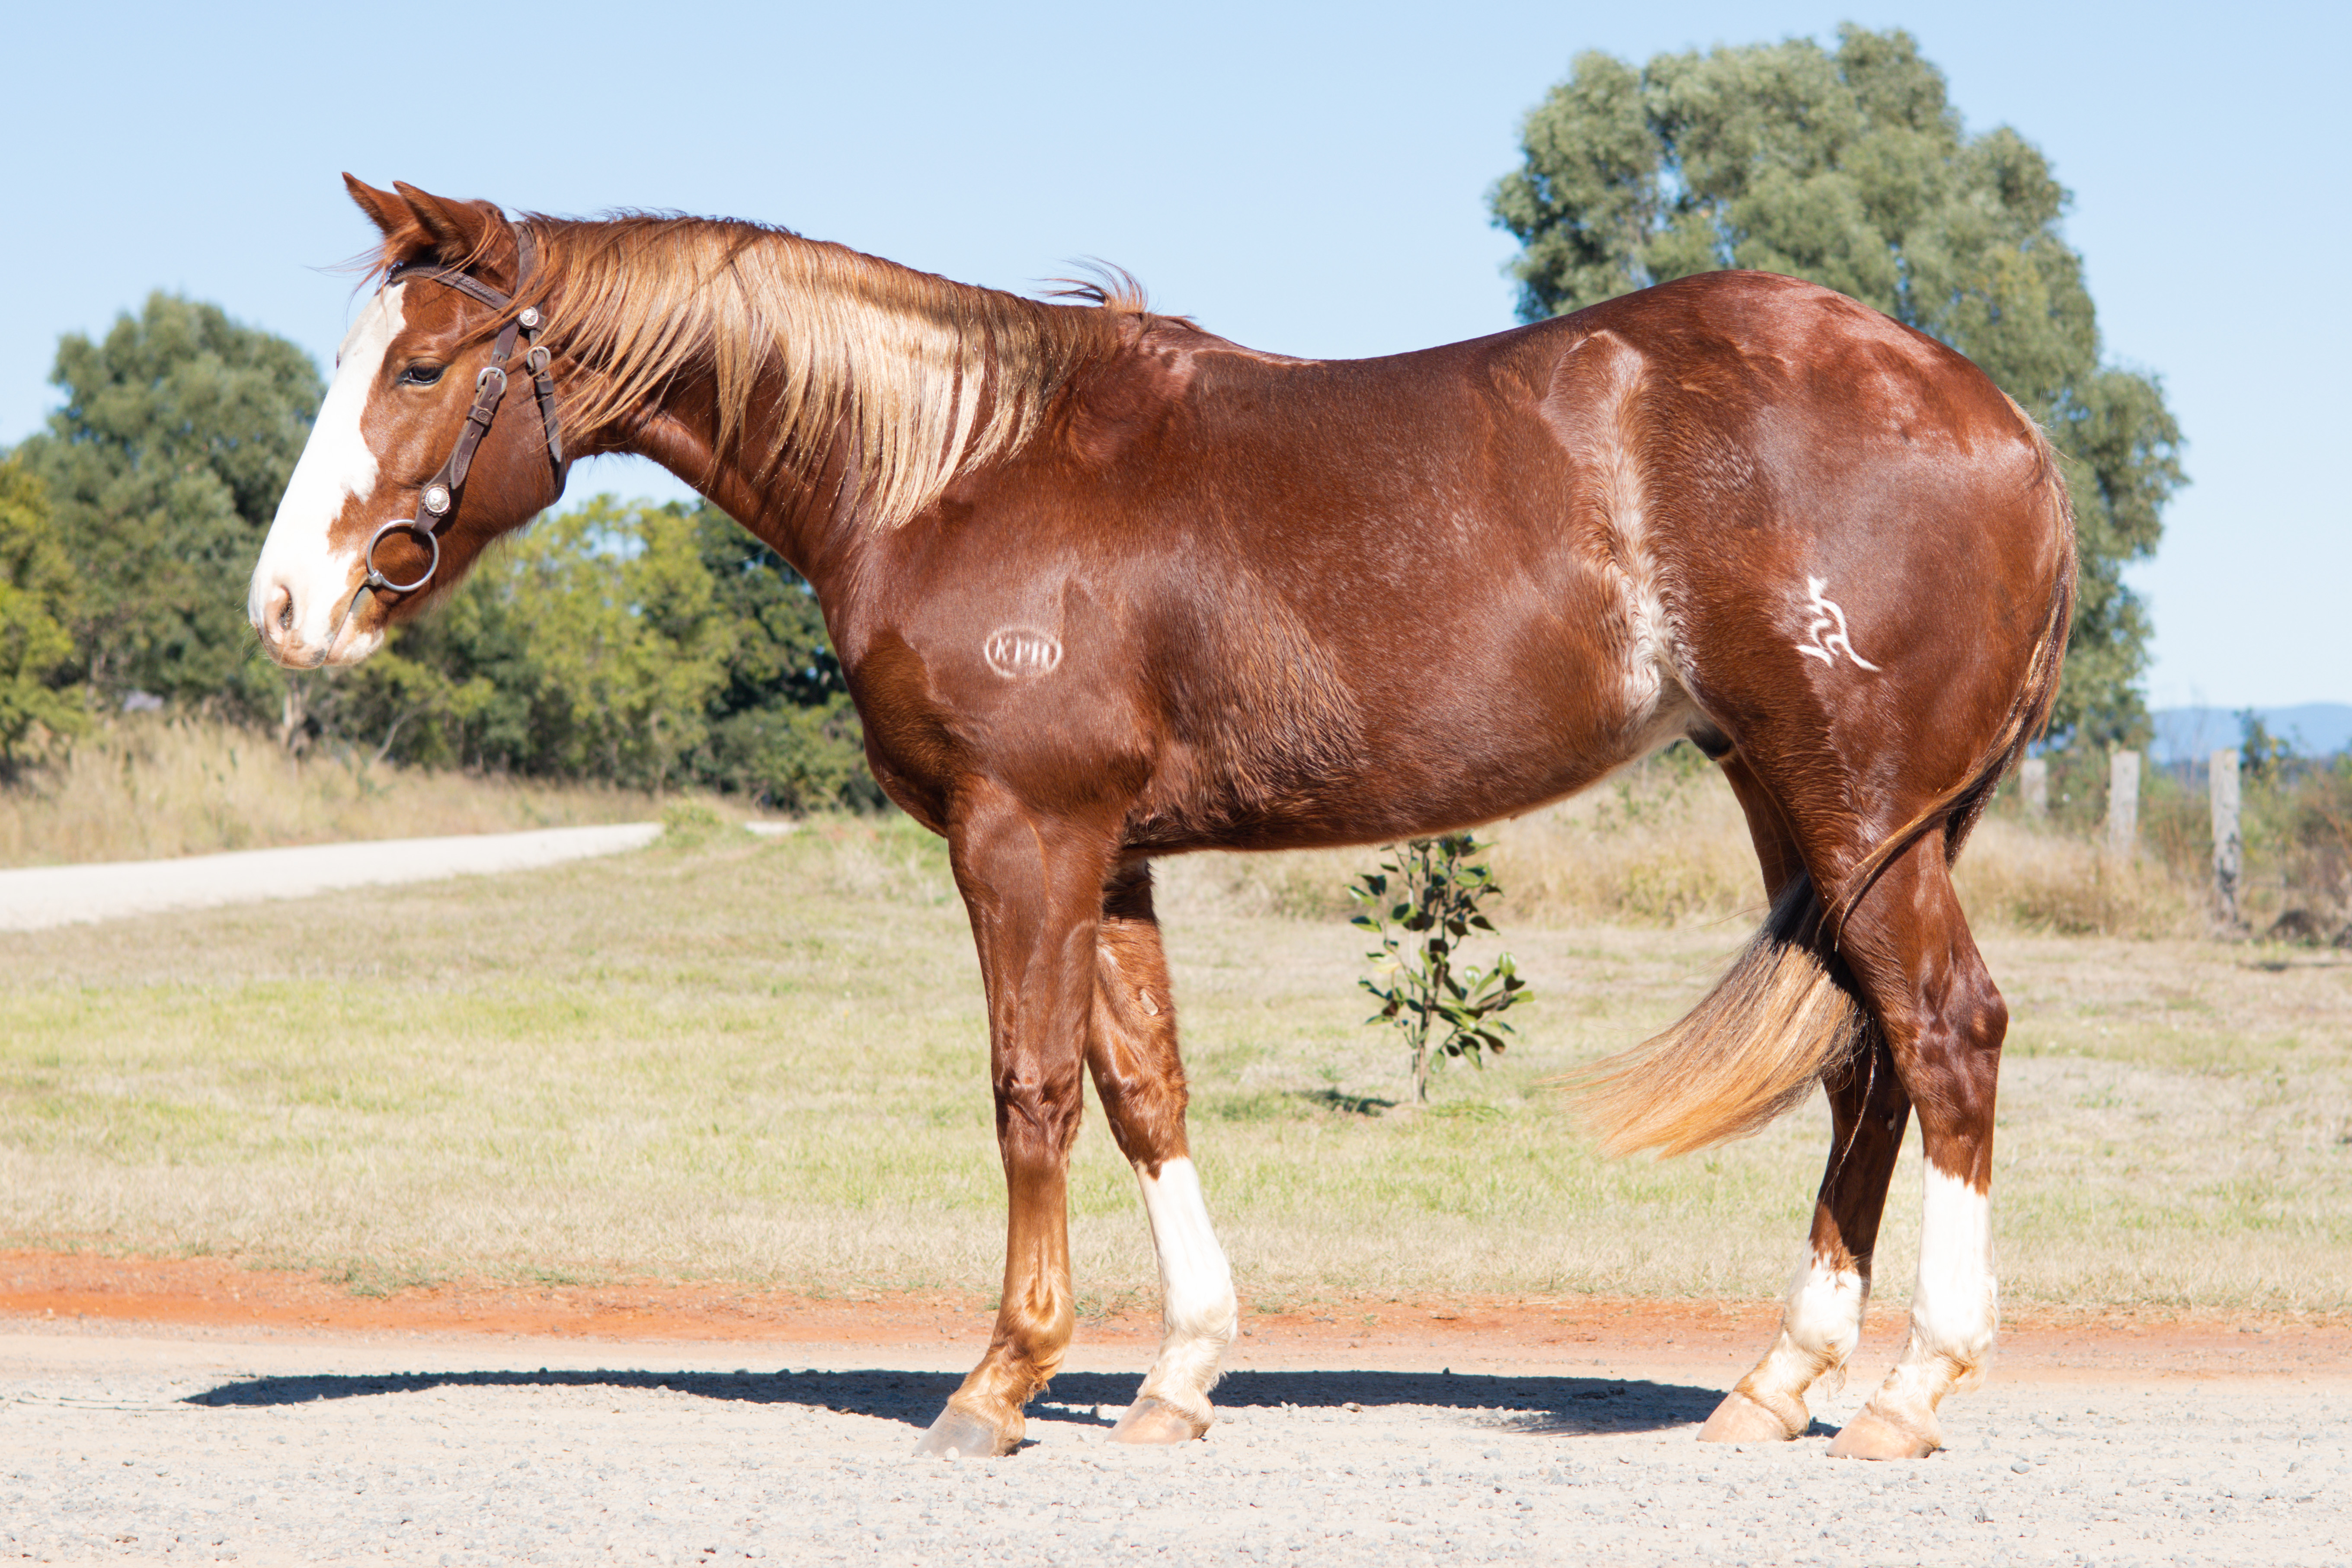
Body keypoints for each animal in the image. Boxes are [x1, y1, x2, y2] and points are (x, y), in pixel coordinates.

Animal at [248, 176, 2074, 1463]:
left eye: (424, 362)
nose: (286, 605)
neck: (950, 466)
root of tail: (2004, 425)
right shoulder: (1108, 854)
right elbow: (1143, 1087)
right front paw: (1178, 1372)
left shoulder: (1022, 838)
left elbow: (1032, 1091)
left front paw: (998, 1379)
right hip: (1807, 810)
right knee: (1862, 1060)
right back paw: (1773, 1381)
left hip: (1852, 806)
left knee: (1946, 1031)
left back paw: (1910, 1389)